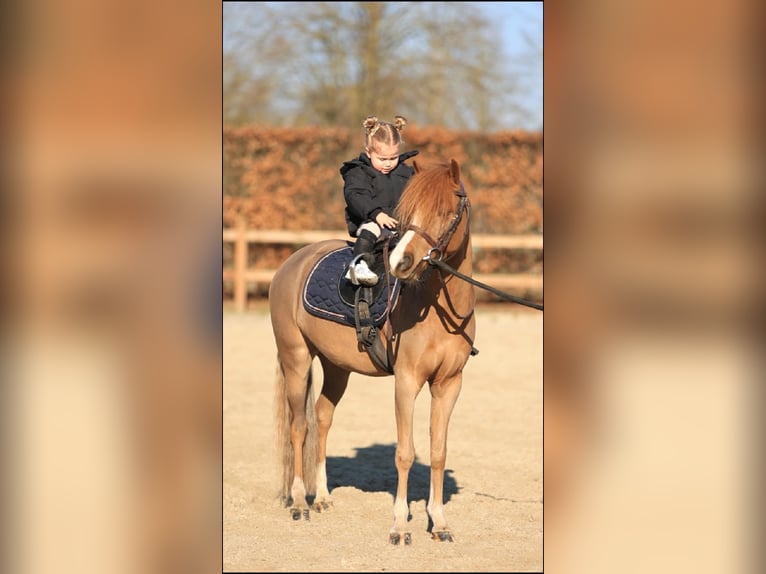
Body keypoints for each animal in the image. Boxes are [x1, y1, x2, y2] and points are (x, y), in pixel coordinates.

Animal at [268, 158, 476, 544]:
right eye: (409, 213)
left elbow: (438, 452)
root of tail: (293, 262)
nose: (402, 263)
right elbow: (405, 454)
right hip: (296, 359)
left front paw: (439, 523)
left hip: (336, 367)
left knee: (322, 417)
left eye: (445, 212)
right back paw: (300, 503)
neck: (436, 307)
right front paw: (399, 527)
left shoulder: (449, 384)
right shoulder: (407, 382)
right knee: (299, 426)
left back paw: (322, 497)